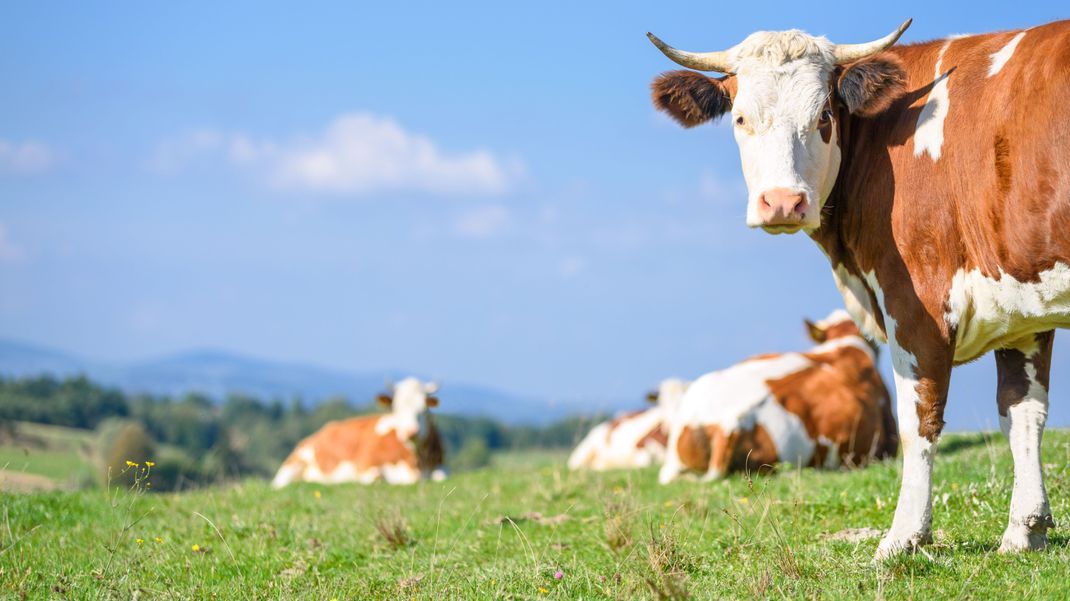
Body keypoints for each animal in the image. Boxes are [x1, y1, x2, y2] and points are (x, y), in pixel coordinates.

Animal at [276, 376, 447, 483]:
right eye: (396, 408)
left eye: (424, 408)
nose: (411, 432)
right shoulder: (367, 468)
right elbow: (376, 479)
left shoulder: (440, 468)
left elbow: (440, 477)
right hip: (291, 466)